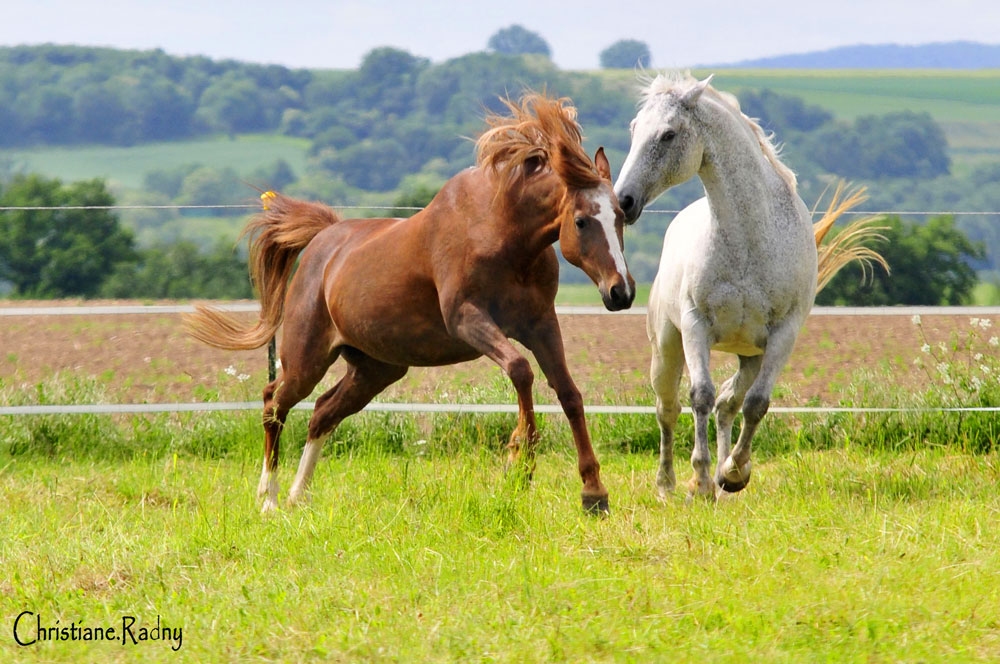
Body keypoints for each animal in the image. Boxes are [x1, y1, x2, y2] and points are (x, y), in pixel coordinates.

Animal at [185, 93, 636, 516]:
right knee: (273, 403)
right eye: (580, 220)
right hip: (306, 358)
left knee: (322, 413)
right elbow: (521, 370)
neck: (501, 233)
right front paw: (518, 463)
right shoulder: (467, 320)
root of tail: (323, 240)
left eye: (620, 215)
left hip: (375, 369)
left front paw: (593, 493)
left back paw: (298, 496)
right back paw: (269, 498)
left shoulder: (541, 324)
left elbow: (568, 393)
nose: (622, 292)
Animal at [612, 72, 888, 498]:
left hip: (750, 356)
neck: (748, 239)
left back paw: (722, 478)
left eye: (668, 134)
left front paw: (733, 473)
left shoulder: (782, 335)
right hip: (667, 345)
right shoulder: (694, 326)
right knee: (668, 409)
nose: (622, 201)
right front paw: (700, 480)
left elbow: (755, 403)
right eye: (634, 129)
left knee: (728, 402)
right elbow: (700, 396)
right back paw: (667, 485)